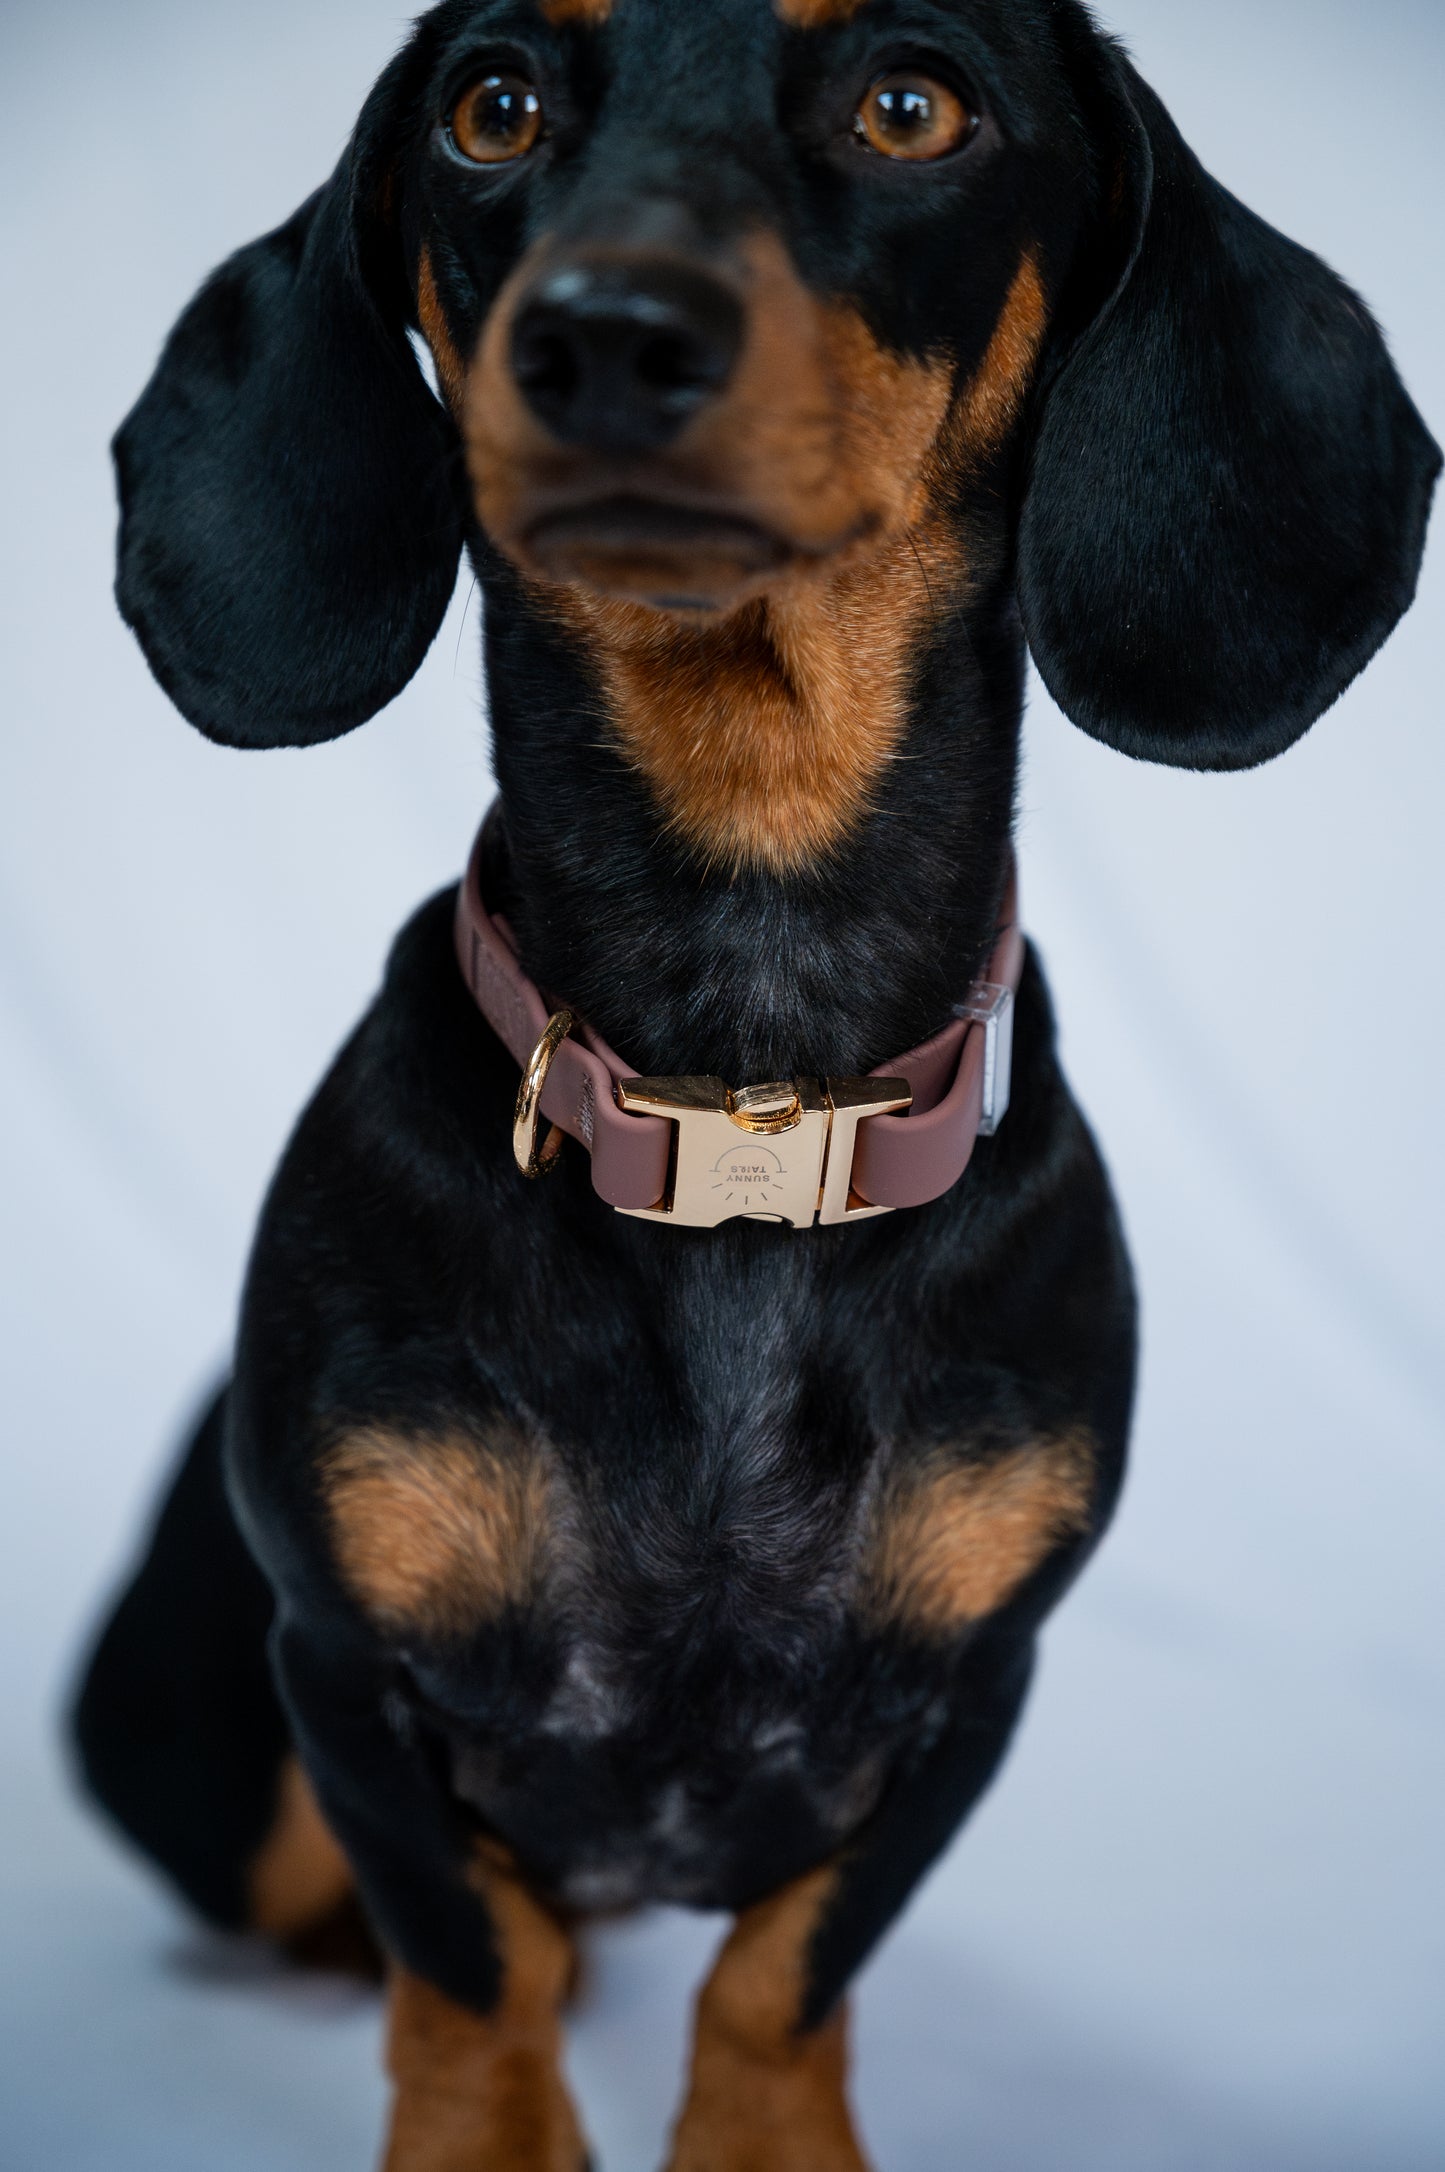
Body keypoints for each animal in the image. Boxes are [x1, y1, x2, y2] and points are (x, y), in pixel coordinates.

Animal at [76, 0, 1434, 2163]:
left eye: (910, 103)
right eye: (491, 108)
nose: (607, 335)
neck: (739, 1097)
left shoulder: (973, 1689)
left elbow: (788, 1969)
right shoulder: (347, 1669)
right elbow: (472, 1965)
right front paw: (487, 2123)